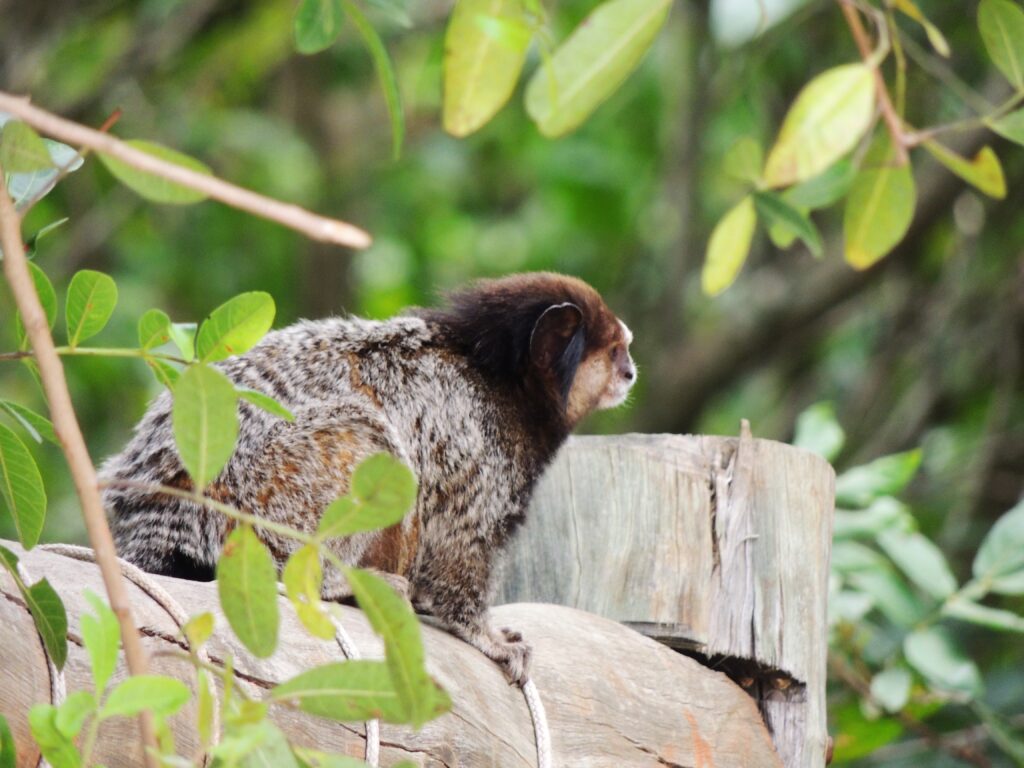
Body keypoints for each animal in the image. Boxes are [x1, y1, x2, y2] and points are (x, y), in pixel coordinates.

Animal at [101, 272, 630, 684]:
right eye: (615, 351)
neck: (500, 382)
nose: (630, 371)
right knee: (368, 434)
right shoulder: (475, 445)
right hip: (257, 505)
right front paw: (487, 637)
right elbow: (456, 553)